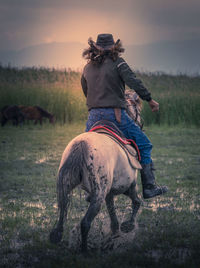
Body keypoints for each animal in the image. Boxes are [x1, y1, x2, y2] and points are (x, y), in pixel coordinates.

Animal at [49, 89, 141, 251]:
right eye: (138, 107)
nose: (140, 123)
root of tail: (81, 145)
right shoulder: (130, 186)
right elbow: (137, 202)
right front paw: (128, 226)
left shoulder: (110, 192)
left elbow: (112, 210)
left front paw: (115, 231)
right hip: (98, 195)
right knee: (85, 223)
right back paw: (85, 250)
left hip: (66, 187)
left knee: (62, 213)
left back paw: (58, 236)